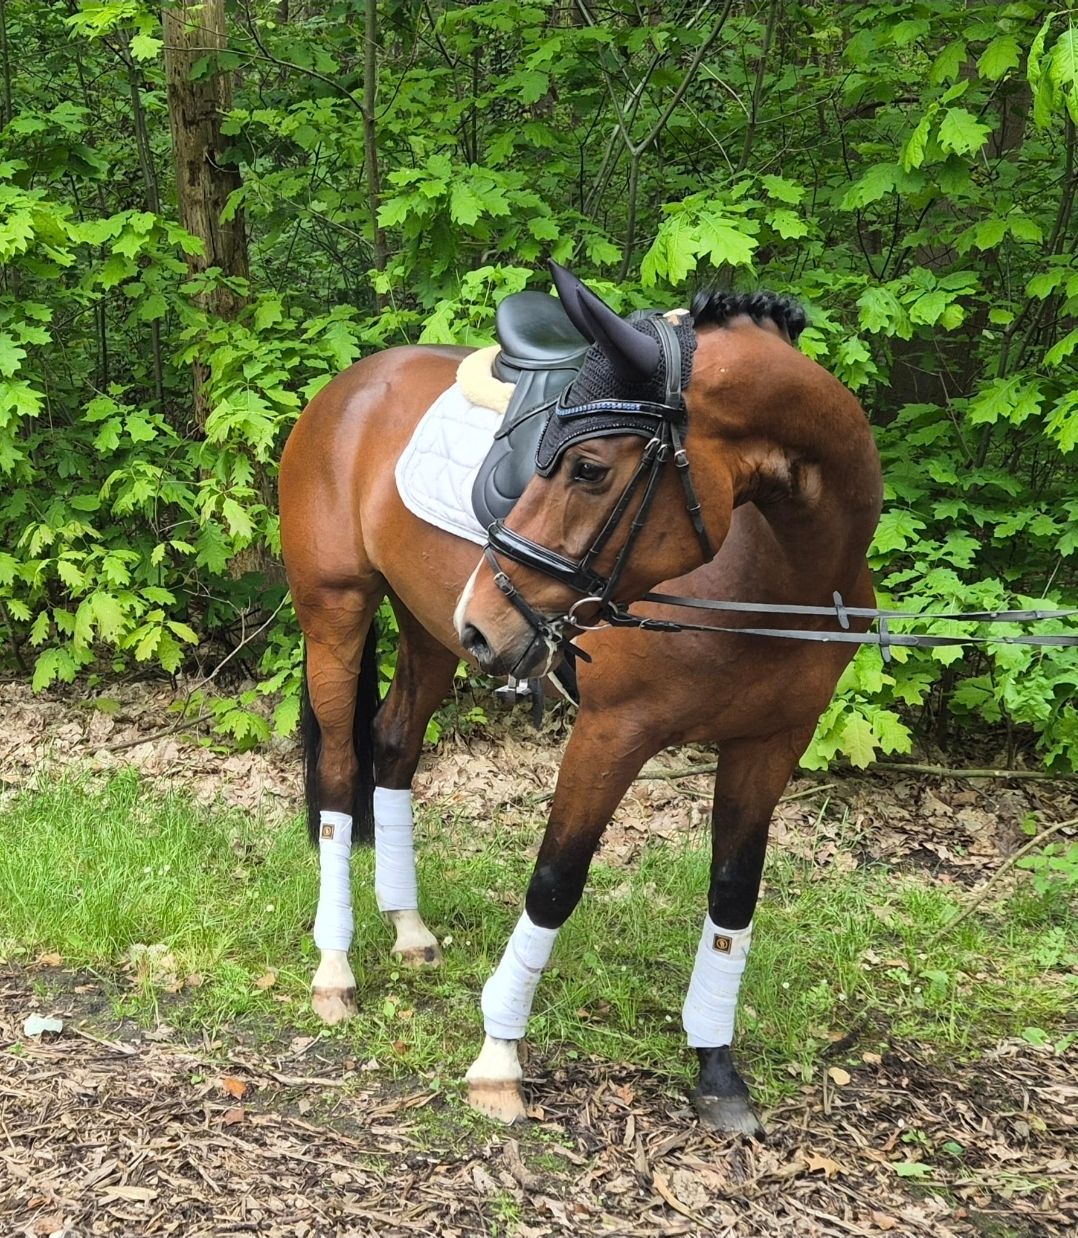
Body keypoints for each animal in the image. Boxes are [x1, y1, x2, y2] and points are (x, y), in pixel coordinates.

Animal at [278, 262, 882, 1135]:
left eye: (590, 467)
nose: (485, 618)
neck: (774, 569)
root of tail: (350, 385)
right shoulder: (613, 732)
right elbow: (555, 880)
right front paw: (498, 1057)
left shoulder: (772, 742)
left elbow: (734, 895)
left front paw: (716, 1066)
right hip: (338, 611)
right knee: (336, 773)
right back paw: (335, 967)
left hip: (427, 630)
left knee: (391, 747)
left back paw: (409, 927)